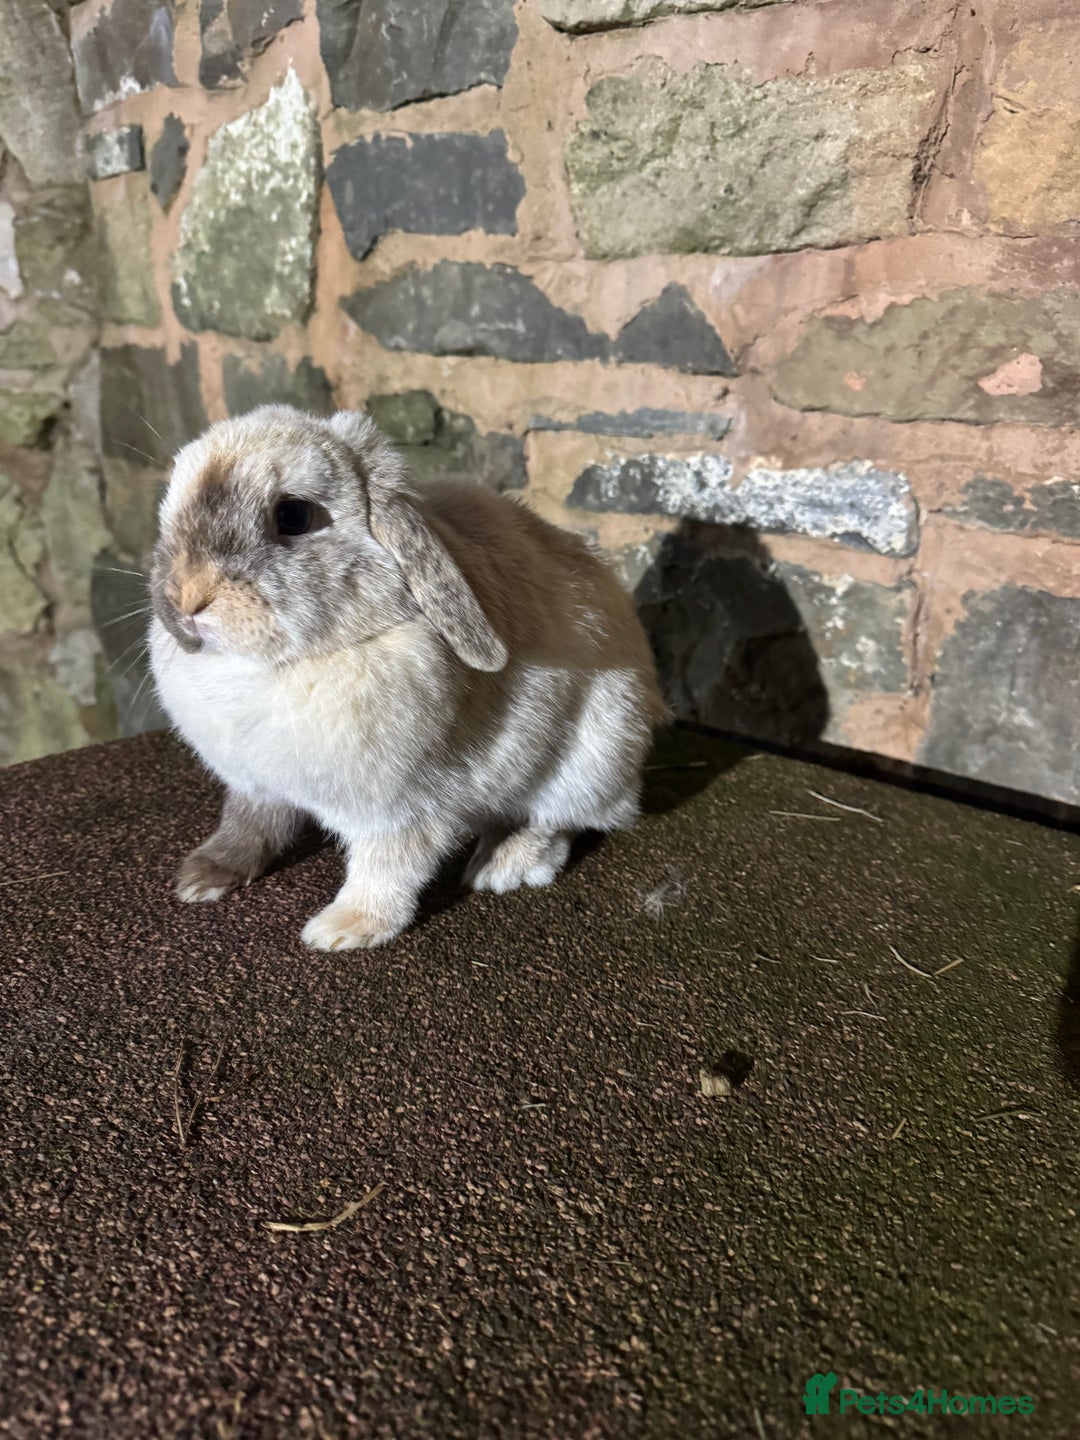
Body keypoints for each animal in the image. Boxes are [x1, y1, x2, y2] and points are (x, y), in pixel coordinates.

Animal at [148, 404, 668, 951]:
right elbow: (249, 825)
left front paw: (344, 929)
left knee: (560, 822)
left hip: (587, 764)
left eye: (294, 516)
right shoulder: (254, 786)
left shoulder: (403, 808)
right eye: (171, 498)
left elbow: (388, 866)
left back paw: (505, 863)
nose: (187, 597)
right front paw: (203, 876)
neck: (280, 666)